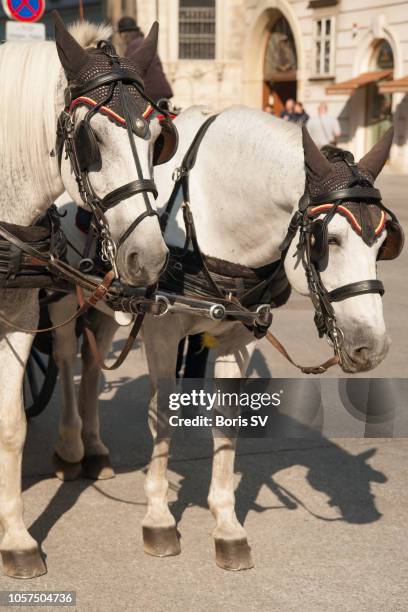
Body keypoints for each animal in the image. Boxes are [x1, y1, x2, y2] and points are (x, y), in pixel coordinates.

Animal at [0, 15, 169, 580]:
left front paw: (15, 540)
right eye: (90, 139)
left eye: (159, 138)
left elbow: (10, 425)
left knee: (86, 365)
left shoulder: (21, 315)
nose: (150, 257)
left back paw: (86, 449)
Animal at [48, 104, 396, 568]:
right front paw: (158, 517)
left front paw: (227, 525)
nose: (371, 347)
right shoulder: (161, 332)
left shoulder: (238, 336)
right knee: (66, 358)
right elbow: (163, 416)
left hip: (105, 306)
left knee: (90, 364)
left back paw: (94, 448)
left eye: (383, 243)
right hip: (61, 297)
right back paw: (70, 449)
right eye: (330, 240)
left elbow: (227, 422)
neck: (215, 210)